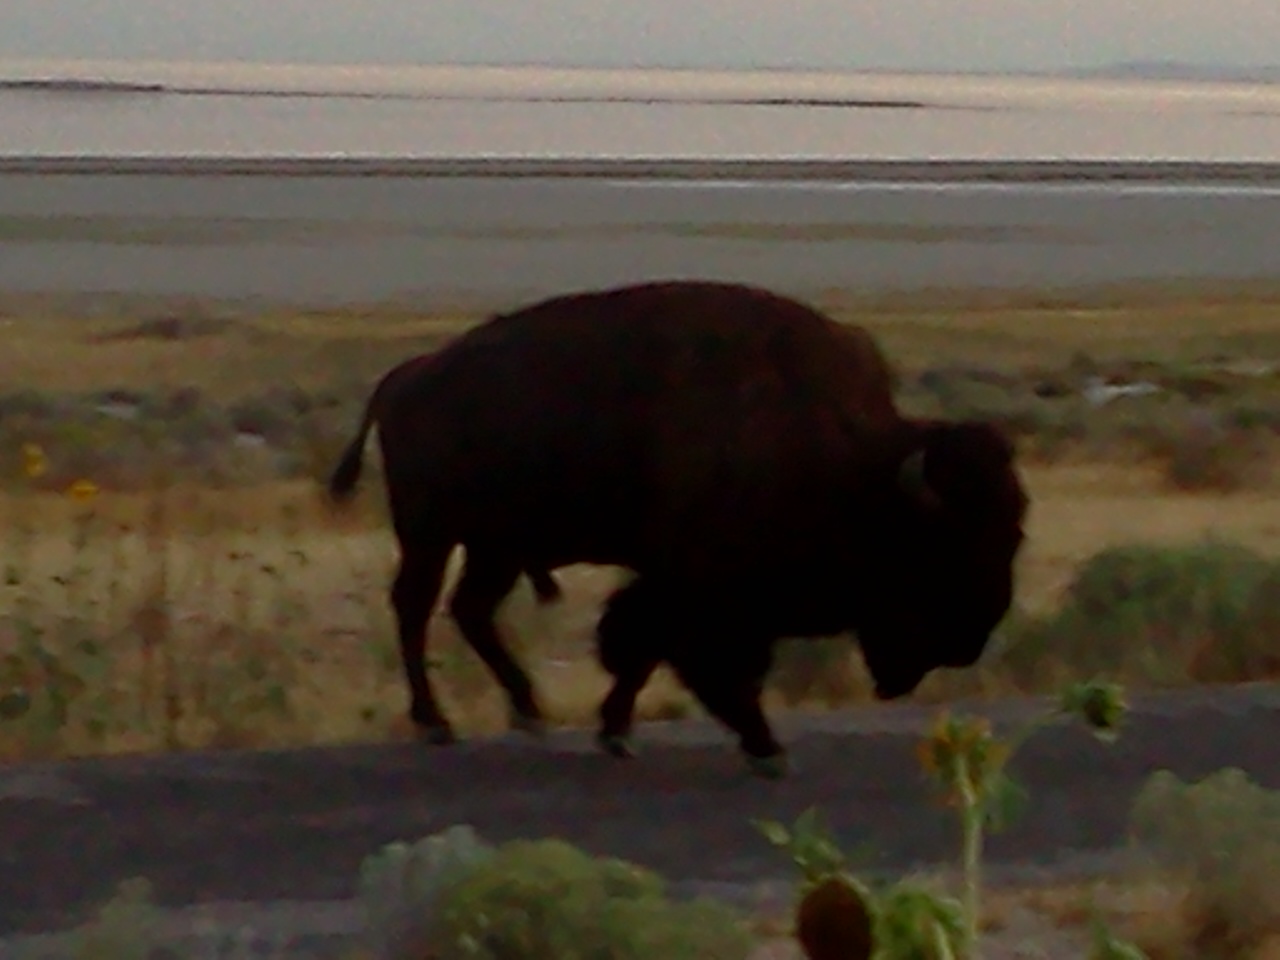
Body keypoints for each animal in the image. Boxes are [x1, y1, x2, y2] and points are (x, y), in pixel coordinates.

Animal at [330, 281, 1029, 778]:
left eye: (1013, 535)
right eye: (941, 545)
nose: (968, 640)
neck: (845, 462)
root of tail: (405, 376)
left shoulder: (677, 582)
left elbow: (642, 648)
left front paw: (617, 732)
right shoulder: (705, 590)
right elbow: (698, 658)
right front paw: (765, 748)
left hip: (494, 545)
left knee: (471, 609)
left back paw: (529, 712)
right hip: (431, 533)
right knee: (415, 608)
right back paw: (436, 723)